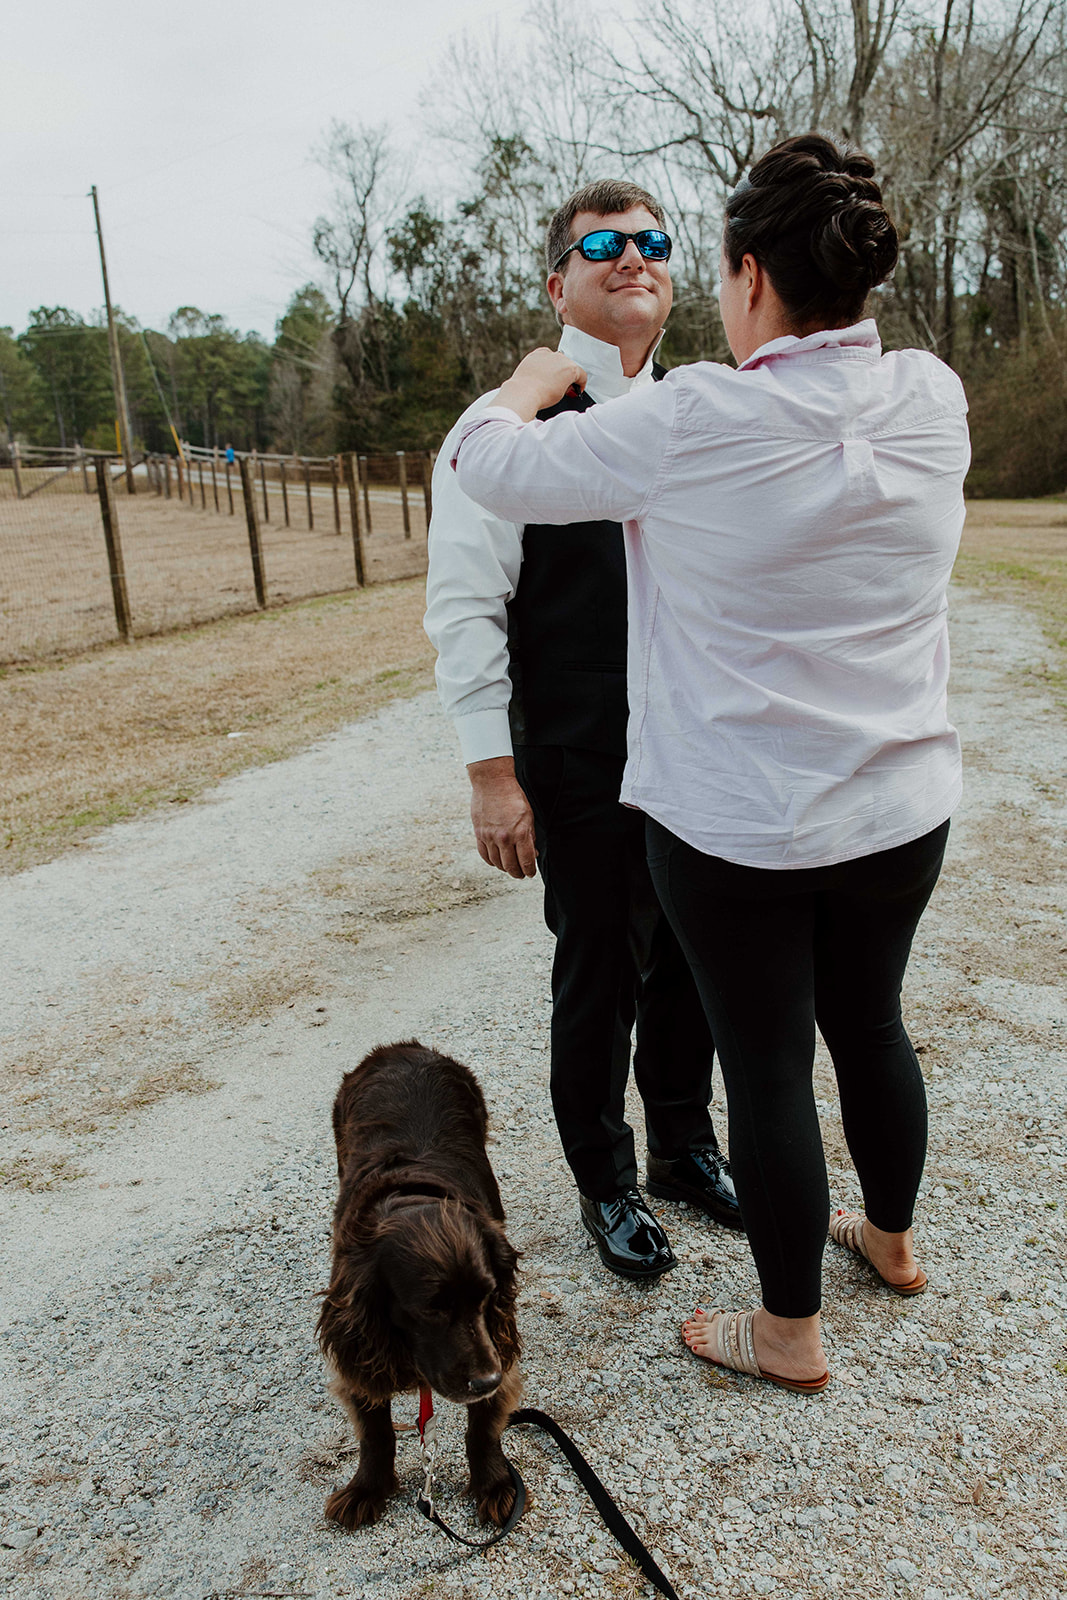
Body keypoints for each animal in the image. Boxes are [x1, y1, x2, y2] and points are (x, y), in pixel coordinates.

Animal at [316, 1043, 521, 1529]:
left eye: (487, 1296)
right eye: (431, 1309)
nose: (486, 1379)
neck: (412, 1197)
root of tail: (401, 1048)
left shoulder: (496, 1340)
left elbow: (483, 1426)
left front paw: (495, 1485)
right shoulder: (358, 1341)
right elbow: (375, 1432)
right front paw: (367, 1488)